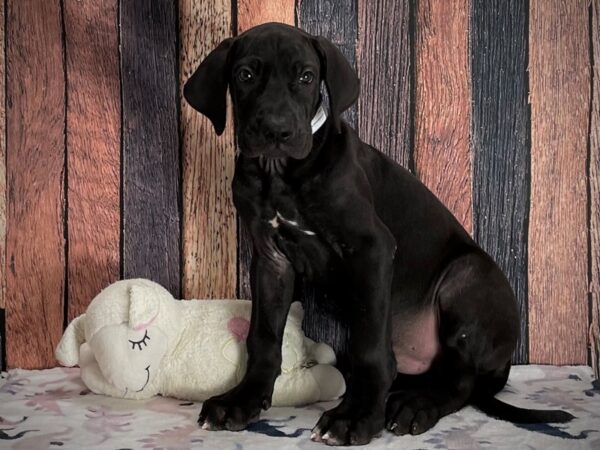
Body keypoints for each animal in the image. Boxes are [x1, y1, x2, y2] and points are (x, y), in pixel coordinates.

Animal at [182, 22, 572, 444]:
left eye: (306, 77)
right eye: (245, 75)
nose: (276, 130)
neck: (281, 175)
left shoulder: (372, 248)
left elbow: (368, 346)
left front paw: (355, 416)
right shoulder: (272, 261)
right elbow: (264, 335)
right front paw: (243, 399)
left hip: (467, 278)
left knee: (461, 380)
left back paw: (415, 405)